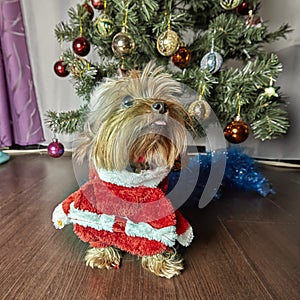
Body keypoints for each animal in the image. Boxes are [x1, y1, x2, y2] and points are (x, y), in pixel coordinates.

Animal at [52, 63, 193, 278]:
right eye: (127, 101)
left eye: (162, 96)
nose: (161, 105)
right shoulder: (91, 206)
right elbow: (97, 231)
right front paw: (102, 254)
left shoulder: (158, 211)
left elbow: (157, 236)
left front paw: (160, 262)